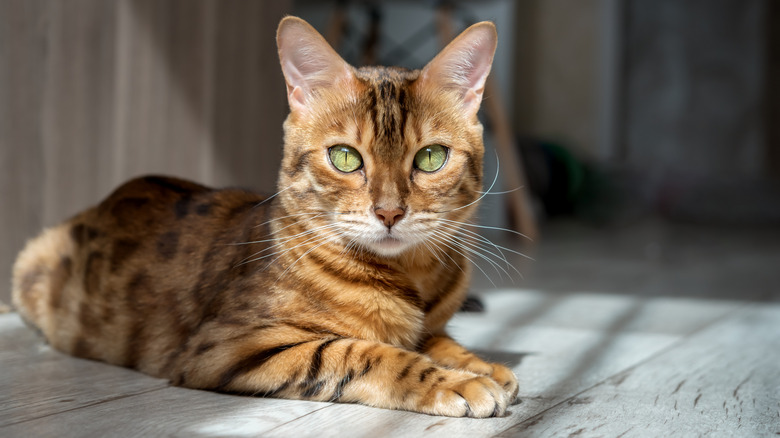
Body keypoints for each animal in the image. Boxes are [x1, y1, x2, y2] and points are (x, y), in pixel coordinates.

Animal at [10, 16, 516, 418]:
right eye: (345, 158)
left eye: (431, 158)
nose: (389, 212)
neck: (411, 278)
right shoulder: (231, 346)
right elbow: (365, 352)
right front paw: (458, 381)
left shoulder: (433, 324)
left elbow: (441, 341)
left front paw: (479, 364)